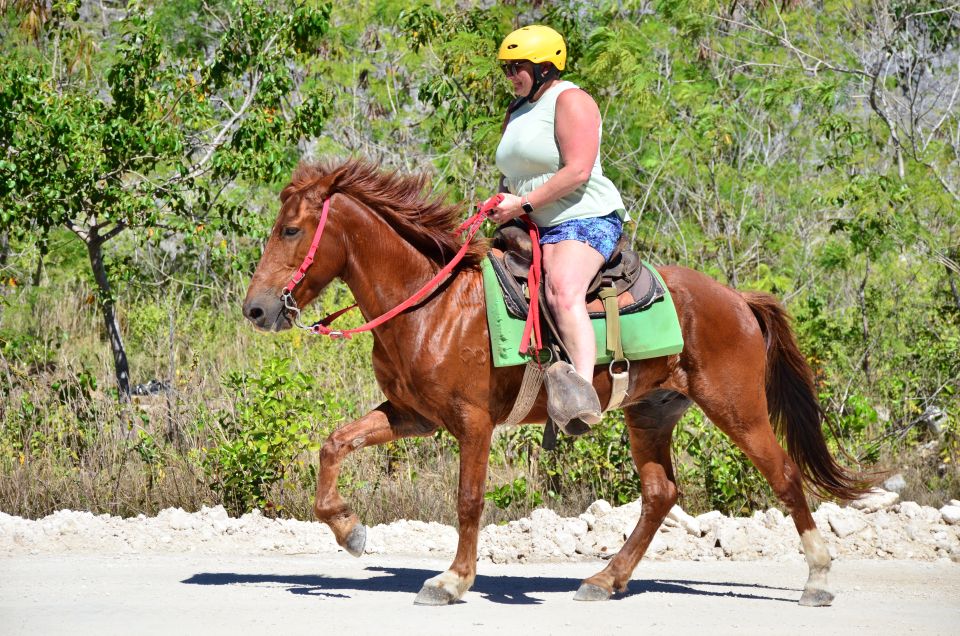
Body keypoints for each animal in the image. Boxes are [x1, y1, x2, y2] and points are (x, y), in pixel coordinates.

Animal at [242, 158, 872, 608]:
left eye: (290, 230)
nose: (256, 309)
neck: (431, 303)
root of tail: (737, 298)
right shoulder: (412, 415)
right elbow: (334, 444)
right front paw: (349, 530)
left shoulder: (473, 422)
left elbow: (468, 499)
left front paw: (452, 580)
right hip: (650, 411)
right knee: (660, 493)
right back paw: (604, 579)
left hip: (736, 407)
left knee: (784, 475)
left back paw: (817, 578)